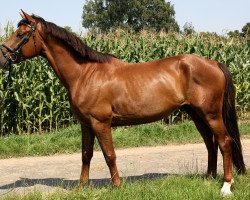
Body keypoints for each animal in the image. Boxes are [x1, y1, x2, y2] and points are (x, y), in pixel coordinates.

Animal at [0, 10, 246, 195]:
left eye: (21, 33)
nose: (2, 58)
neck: (85, 74)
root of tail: (214, 63)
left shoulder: (101, 123)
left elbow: (109, 155)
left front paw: (117, 186)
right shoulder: (86, 124)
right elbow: (86, 155)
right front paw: (82, 187)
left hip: (211, 114)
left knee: (224, 142)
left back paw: (225, 186)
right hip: (196, 114)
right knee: (210, 143)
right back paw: (208, 178)